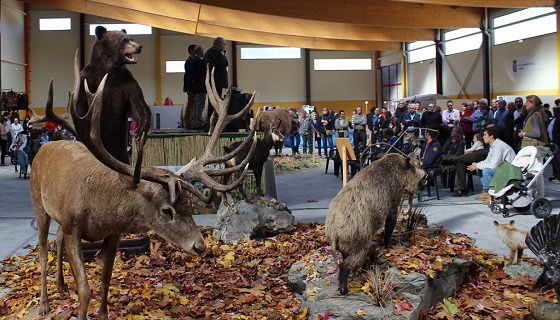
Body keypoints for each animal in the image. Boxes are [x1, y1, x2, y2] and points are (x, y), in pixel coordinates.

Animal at [29, 60, 258, 320]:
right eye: (167, 210)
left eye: (190, 205)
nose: (200, 246)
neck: (99, 211)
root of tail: (45, 147)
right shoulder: (73, 227)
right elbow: (85, 289)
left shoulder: (113, 233)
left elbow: (106, 278)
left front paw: (103, 314)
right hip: (38, 203)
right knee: (43, 252)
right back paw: (44, 304)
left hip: (57, 215)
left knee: (57, 239)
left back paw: (61, 285)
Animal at [76, 25, 153, 162]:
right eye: (124, 40)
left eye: (131, 38)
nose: (139, 46)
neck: (109, 70)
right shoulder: (86, 79)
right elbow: (80, 106)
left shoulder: (127, 83)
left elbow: (138, 105)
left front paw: (140, 131)